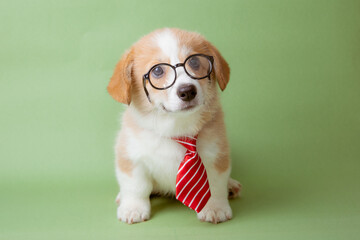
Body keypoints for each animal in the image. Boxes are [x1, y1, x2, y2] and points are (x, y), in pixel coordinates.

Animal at [107, 28, 242, 225]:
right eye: (157, 70)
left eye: (194, 61)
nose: (187, 91)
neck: (177, 128)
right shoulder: (131, 158)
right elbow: (137, 187)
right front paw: (133, 208)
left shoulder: (216, 156)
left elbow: (215, 186)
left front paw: (215, 208)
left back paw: (231, 185)